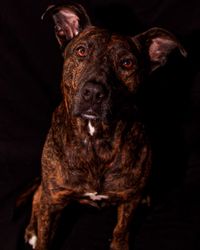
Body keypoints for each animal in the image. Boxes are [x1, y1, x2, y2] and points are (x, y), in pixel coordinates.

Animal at [24, 2, 186, 250]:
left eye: (127, 63)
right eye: (81, 51)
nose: (93, 92)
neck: (94, 139)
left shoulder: (129, 200)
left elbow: (121, 229)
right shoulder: (53, 199)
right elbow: (44, 233)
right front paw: (38, 233)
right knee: (37, 196)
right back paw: (32, 229)